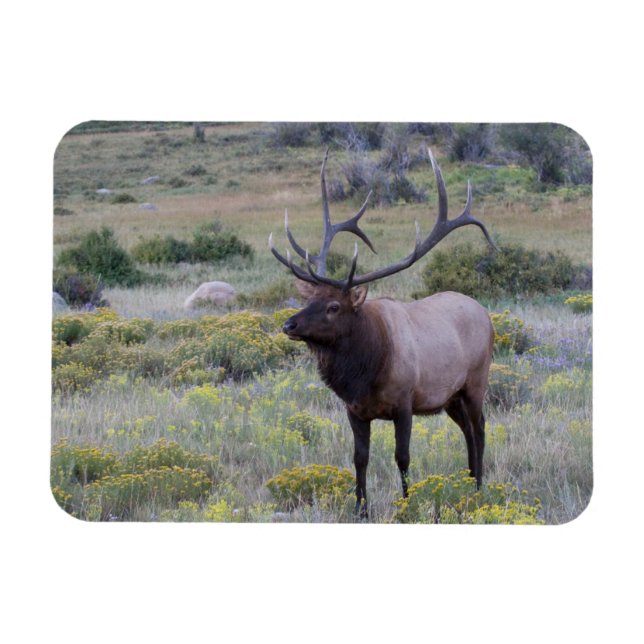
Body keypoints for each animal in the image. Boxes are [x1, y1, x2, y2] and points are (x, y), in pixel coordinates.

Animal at [269, 148, 497, 519]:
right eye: (310, 299)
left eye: (334, 306)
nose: (289, 325)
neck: (366, 371)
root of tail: (486, 315)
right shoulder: (355, 410)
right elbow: (359, 458)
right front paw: (360, 509)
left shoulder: (405, 403)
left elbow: (402, 457)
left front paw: (406, 504)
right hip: (450, 396)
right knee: (466, 430)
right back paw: (469, 482)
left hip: (476, 380)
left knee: (480, 429)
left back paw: (478, 487)